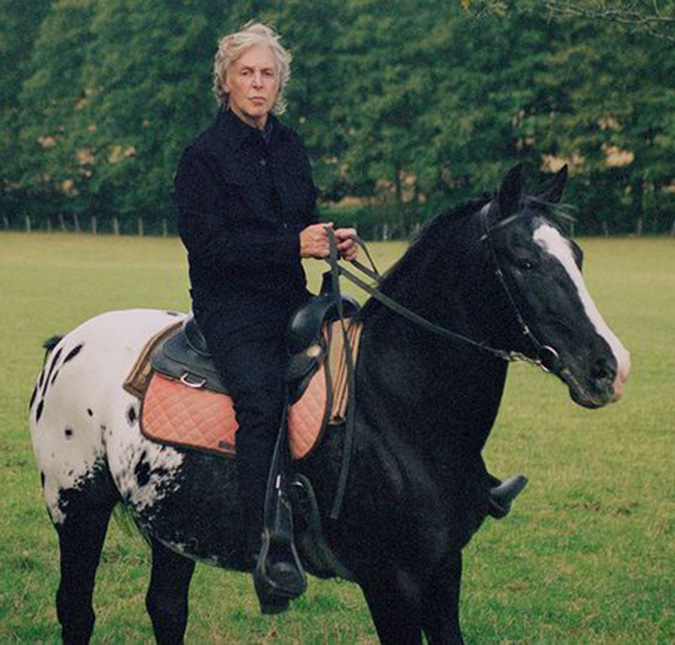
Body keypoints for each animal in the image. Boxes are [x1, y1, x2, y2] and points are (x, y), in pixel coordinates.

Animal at [29, 165, 632, 640]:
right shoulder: (391, 581)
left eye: (577, 255)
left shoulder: (444, 569)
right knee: (76, 611)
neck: (397, 408)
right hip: (76, 507)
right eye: (524, 260)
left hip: (171, 521)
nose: (610, 367)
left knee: (167, 609)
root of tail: (66, 341)